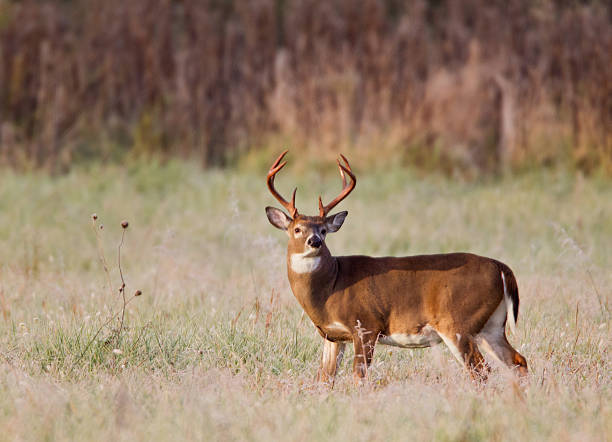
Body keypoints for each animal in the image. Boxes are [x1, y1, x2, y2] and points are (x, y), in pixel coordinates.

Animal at [266, 151, 528, 384]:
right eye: (297, 229)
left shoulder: (365, 324)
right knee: (518, 361)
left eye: (323, 230)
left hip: (457, 322)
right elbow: (324, 378)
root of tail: (502, 268)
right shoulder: (332, 336)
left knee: (481, 370)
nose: (315, 241)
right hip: (491, 325)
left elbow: (359, 376)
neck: (331, 287)